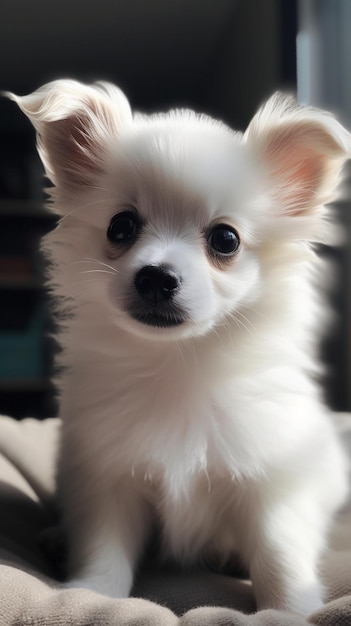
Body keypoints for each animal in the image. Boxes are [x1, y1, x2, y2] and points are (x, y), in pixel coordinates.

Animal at [8, 80, 351, 612]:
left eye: (226, 239)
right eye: (121, 227)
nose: (155, 277)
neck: (179, 362)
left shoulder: (272, 480)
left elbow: (278, 550)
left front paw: (290, 611)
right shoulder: (107, 477)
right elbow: (103, 545)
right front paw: (92, 593)